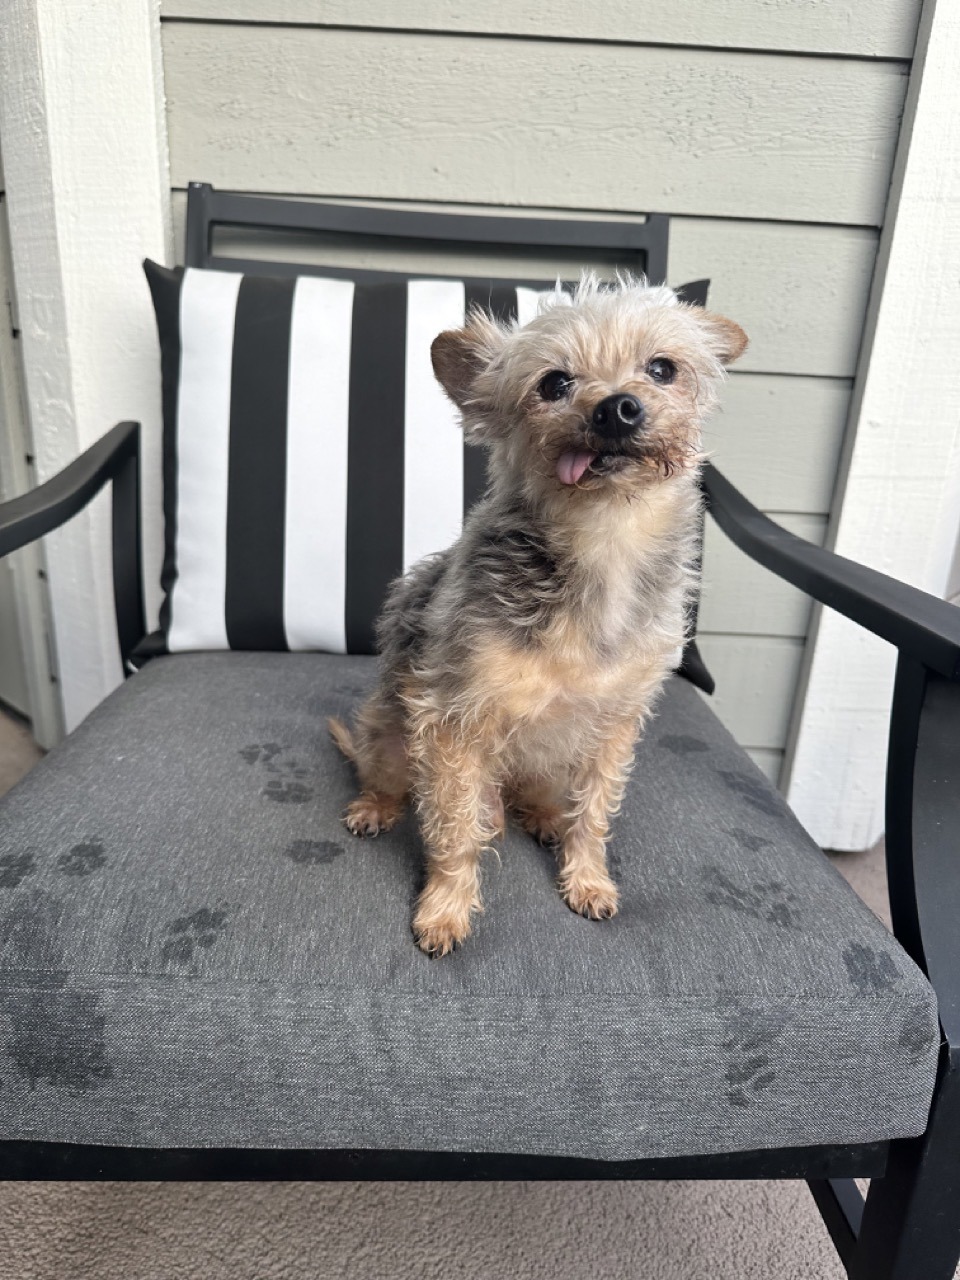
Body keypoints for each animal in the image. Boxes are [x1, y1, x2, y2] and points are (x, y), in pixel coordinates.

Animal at [332, 275, 752, 957]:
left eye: (663, 369)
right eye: (554, 383)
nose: (617, 408)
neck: (603, 538)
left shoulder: (614, 725)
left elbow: (596, 814)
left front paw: (586, 876)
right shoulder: (450, 721)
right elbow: (454, 831)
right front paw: (445, 909)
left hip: (553, 760)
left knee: (540, 798)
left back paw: (543, 817)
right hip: (389, 735)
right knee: (397, 780)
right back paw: (378, 806)